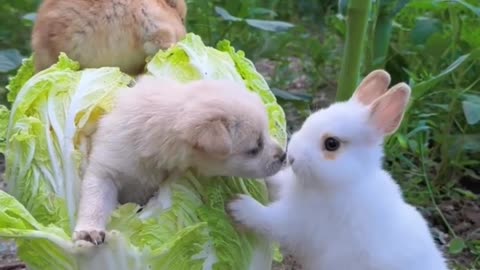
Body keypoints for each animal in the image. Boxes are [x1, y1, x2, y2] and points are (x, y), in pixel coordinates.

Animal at [227, 70, 448, 270]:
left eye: (331, 144)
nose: (291, 157)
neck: (343, 182)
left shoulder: (296, 223)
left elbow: (267, 220)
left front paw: (239, 206)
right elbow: (278, 182)